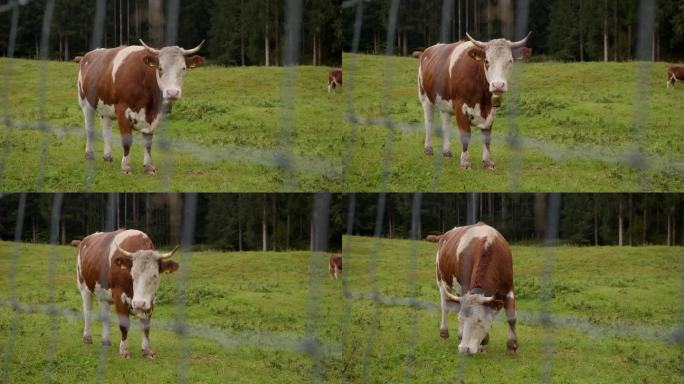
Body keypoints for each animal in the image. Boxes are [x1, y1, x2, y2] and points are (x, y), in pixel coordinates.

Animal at [75, 230, 179, 358]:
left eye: (155, 275)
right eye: (132, 274)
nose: (138, 303)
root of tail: (85, 239)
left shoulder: (150, 300)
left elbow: (146, 325)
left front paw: (147, 350)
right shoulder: (119, 296)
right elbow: (124, 325)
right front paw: (124, 350)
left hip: (103, 293)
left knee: (105, 314)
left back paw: (105, 340)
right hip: (83, 287)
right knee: (87, 311)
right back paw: (87, 337)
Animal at [77, 39, 204, 175]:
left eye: (183, 68)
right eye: (160, 68)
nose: (172, 93)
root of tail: (89, 54)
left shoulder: (153, 116)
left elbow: (148, 143)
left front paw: (149, 166)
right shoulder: (122, 110)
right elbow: (127, 141)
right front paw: (126, 167)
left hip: (105, 106)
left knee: (106, 129)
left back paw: (108, 156)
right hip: (85, 102)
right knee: (89, 128)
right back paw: (89, 154)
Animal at [416, 32, 536, 170]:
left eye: (510, 60)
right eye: (487, 61)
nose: (498, 85)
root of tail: (429, 50)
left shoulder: (491, 110)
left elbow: (487, 137)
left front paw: (488, 161)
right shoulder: (460, 106)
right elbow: (465, 135)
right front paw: (465, 162)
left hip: (444, 102)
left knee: (445, 124)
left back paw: (447, 151)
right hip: (425, 97)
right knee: (429, 122)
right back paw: (428, 149)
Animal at [436, 222, 516, 354]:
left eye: (479, 320)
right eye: (460, 319)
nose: (463, 349)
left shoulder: (509, 288)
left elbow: (511, 317)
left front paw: (512, 345)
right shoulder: (465, 287)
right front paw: (483, 342)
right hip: (440, 280)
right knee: (444, 306)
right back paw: (445, 332)